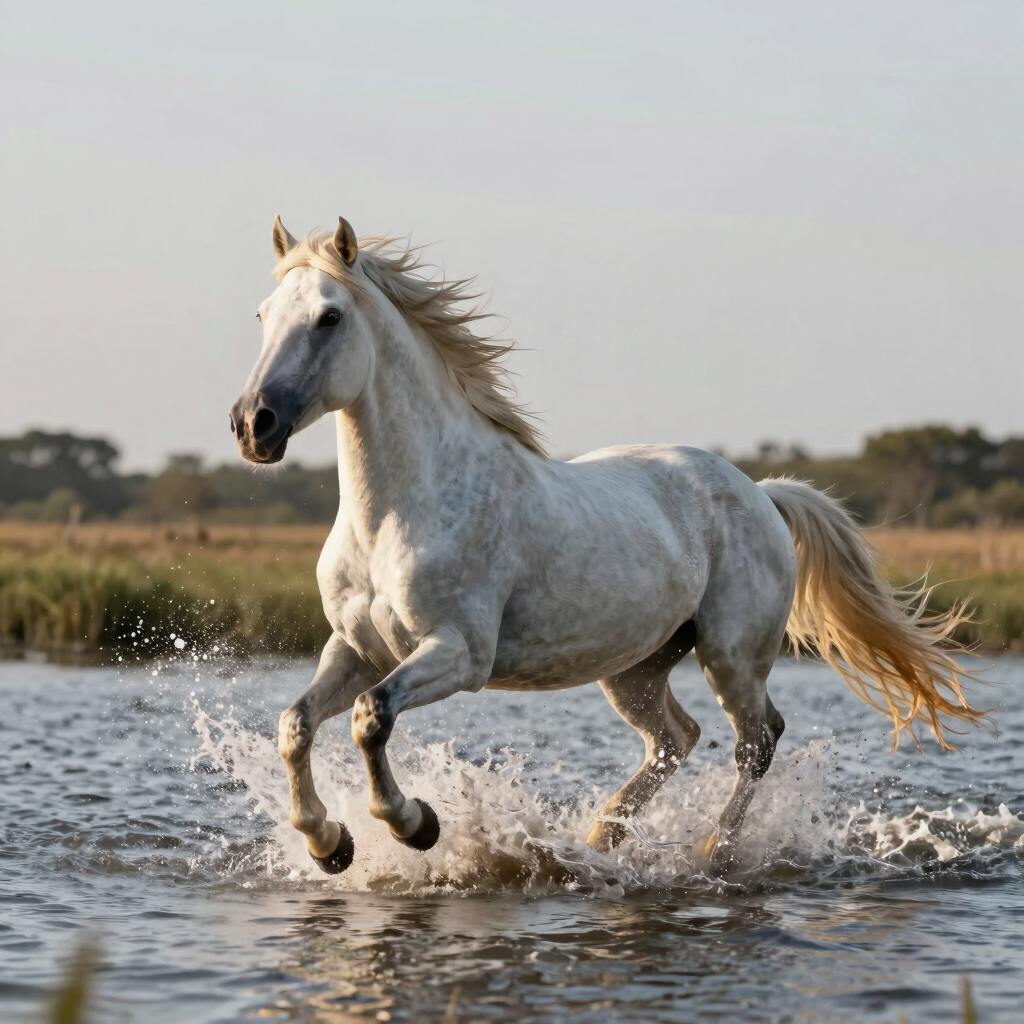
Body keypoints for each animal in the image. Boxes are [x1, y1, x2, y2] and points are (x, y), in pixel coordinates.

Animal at [229, 214, 983, 876]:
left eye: (329, 317)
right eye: (263, 315)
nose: (252, 425)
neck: (396, 514)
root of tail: (761, 492)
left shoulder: (458, 654)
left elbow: (370, 719)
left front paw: (416, 825)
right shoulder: (357, 648)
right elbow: (297, 724)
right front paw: (329, 845)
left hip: (732, 655)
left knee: (756, 741)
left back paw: (713, 854)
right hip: (635, 669)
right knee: (677, 739)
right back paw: (600, 839)